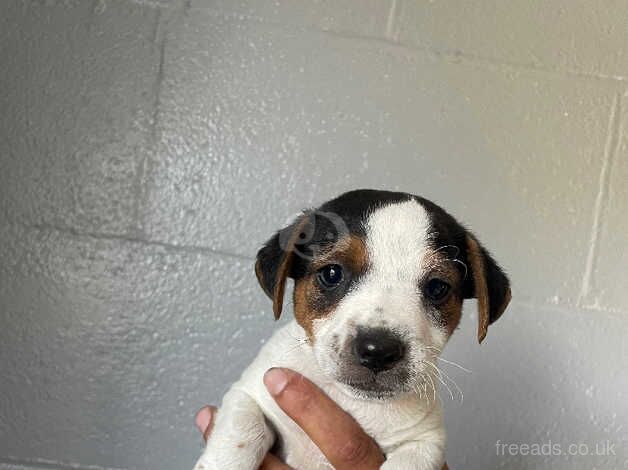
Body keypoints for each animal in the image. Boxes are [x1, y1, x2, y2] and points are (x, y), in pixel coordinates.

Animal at [194, 189, 512, 470]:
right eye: (332, 273)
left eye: (437, 288)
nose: (378, 350)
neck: (352, 402)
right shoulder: (250, 392)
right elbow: (242, 431)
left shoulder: (424, 442)